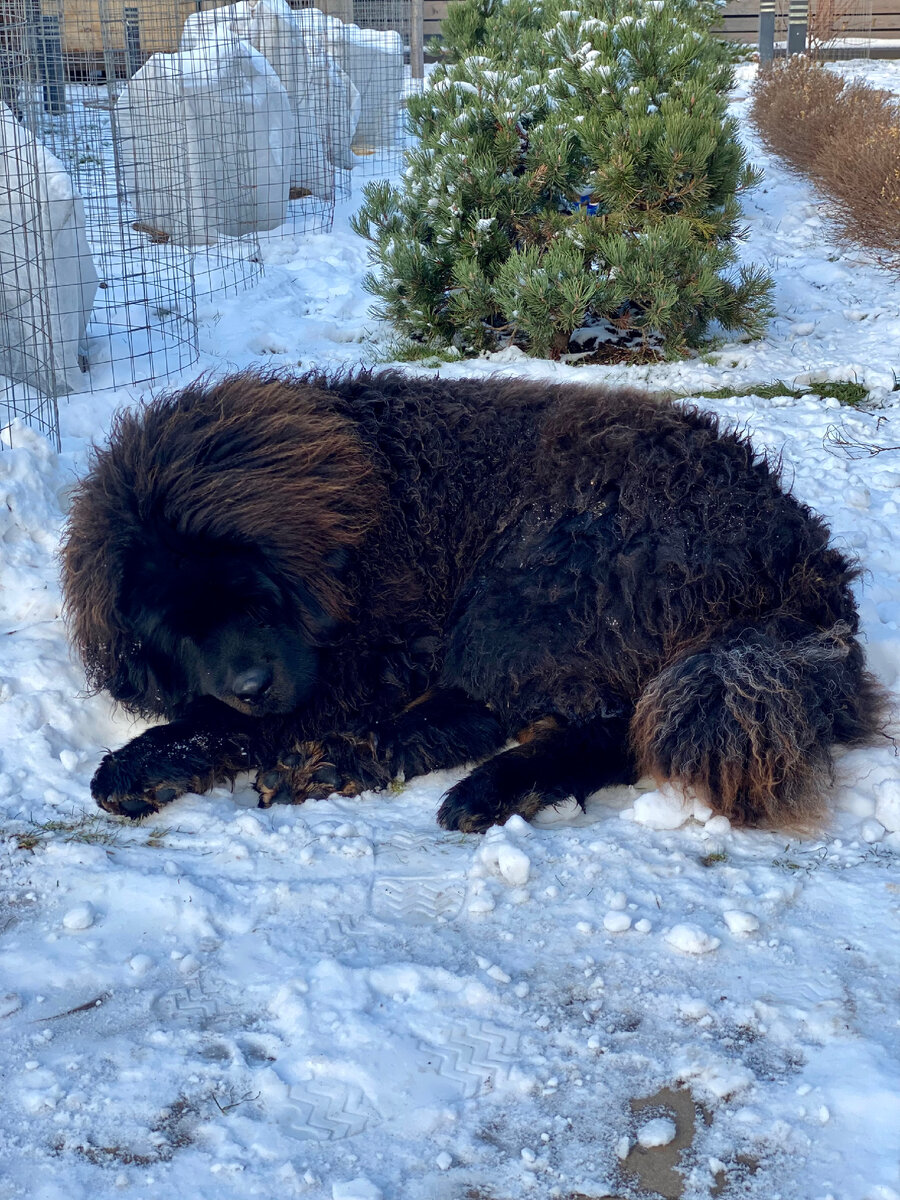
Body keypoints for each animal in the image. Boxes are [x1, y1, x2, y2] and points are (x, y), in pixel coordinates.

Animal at [65, 369, 888, 830]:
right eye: (179, 629)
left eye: (256, 594)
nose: (251, 683)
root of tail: (801, 555)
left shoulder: (380, 646)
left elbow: (246, 715)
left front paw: (140, 763)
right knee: (614, 732)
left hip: (536, 572)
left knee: (501, 712)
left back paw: (365, 767)